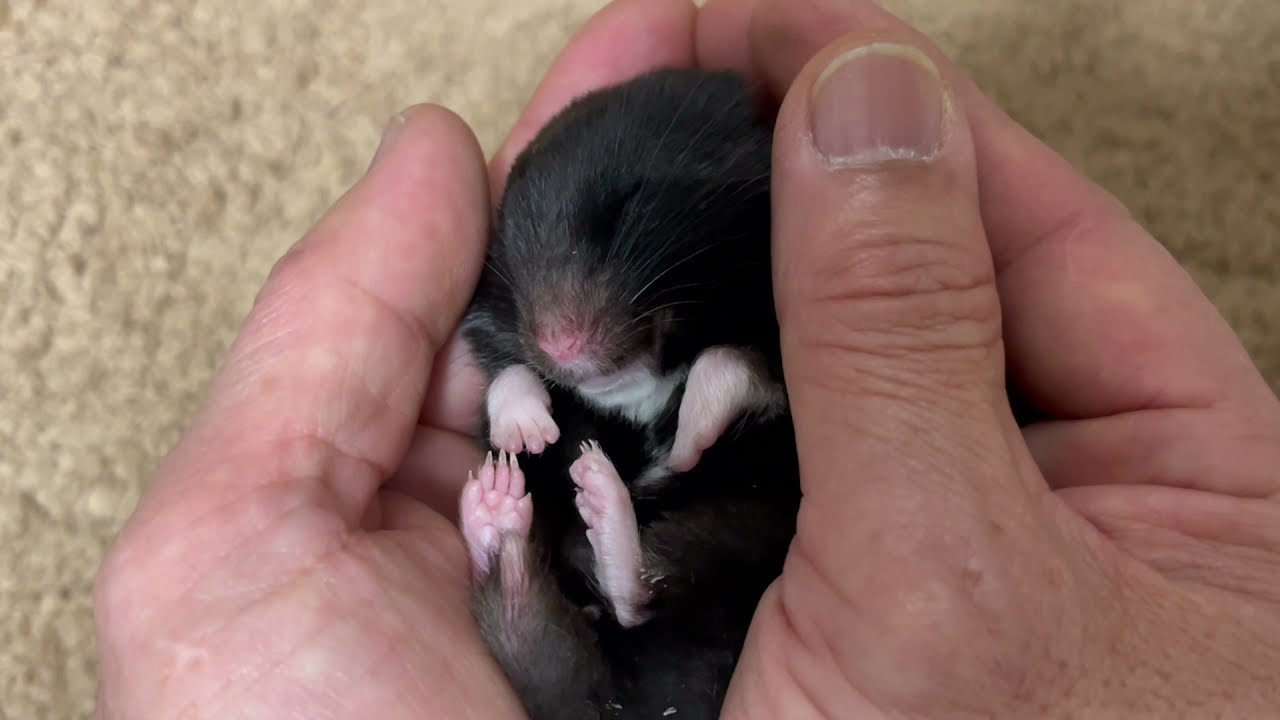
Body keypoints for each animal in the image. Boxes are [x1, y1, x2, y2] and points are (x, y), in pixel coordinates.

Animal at [456, 68, 802, 720]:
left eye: (627, 204)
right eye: (510, 247)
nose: (561, 345)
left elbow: (732, 362)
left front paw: (686, 443)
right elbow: (510, 376)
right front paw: (529, 433)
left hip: (745, 530)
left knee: (642, 593)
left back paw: (597, 497)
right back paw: (500, 504)